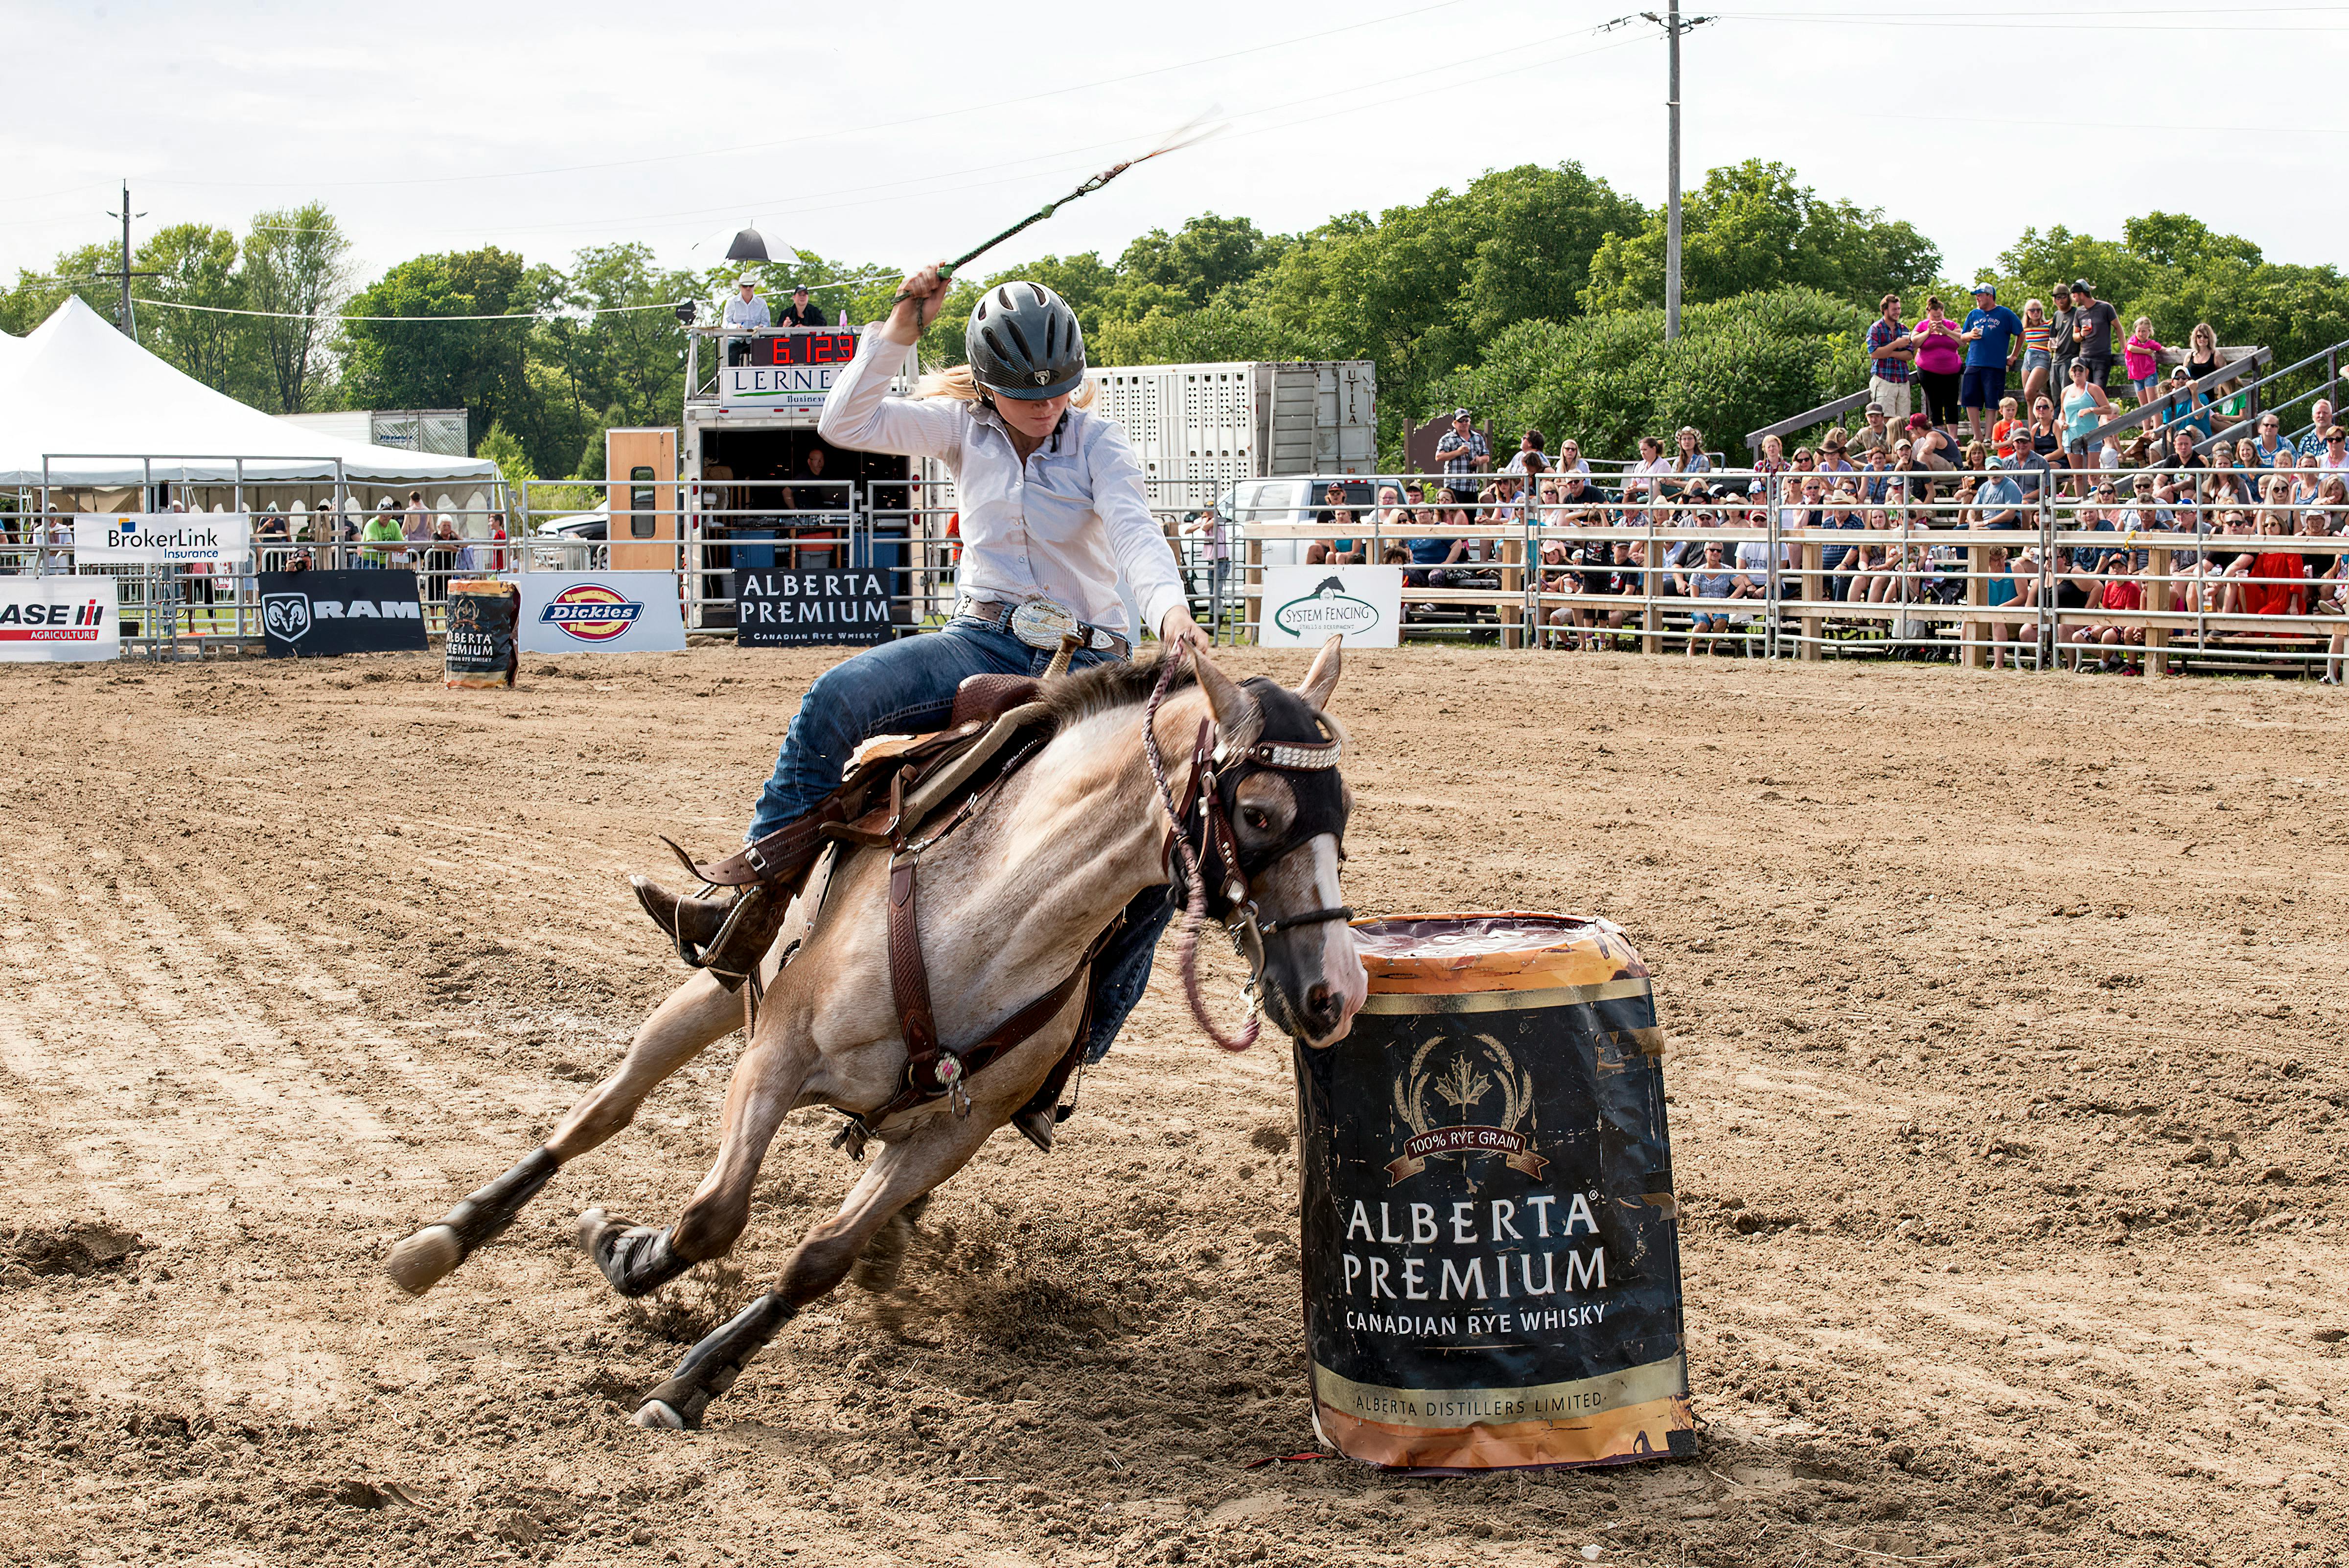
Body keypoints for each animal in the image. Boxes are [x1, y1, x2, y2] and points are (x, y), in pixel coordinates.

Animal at [385, 638, 1372, 1436]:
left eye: (1347, 810)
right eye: (1259, 812)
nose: (1336, 993)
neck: (992, 918)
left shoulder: (952, 1132)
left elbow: (817, 1257)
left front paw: (693, 1381)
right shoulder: (777, 1055)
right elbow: (712, 1216)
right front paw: (629, 1251)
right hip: (721, 989)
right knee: (605, 1107)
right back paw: (444, 1239)